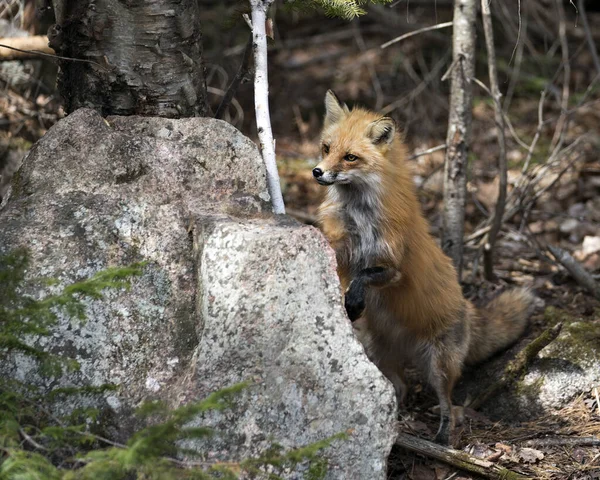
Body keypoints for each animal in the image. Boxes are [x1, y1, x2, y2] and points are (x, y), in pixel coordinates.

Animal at [312, 91, 532, 446]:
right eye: (326, 148)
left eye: (350, 157)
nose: (317, 172)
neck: (359, 216)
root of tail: (468, 308)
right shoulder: (342, 250)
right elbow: (339, 259)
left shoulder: (393, 266)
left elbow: (365, 275)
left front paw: (355, 300)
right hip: (381, 354)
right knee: (399, 388)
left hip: (439, 366)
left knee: (448, 404)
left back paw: (442, 436)